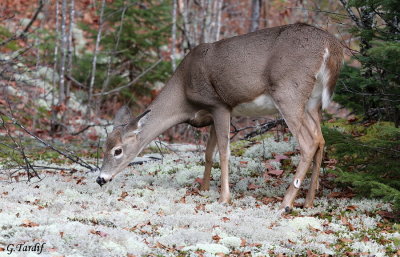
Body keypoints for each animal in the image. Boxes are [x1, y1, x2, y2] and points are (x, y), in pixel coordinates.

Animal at [95, 23, 342, 209]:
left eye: (117, 151)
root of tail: (330, 46)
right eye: (104, 147)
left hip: (288, 93)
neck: (184, 95)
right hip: (312, 102)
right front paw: (203, 188)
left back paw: (287, 202)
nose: (100, 178)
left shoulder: (220, 105)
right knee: (320, 138)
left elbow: (224, 152)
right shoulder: (212, 114)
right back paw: (309, 201)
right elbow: (208, 153)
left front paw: (224, 198)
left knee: (308, 142)